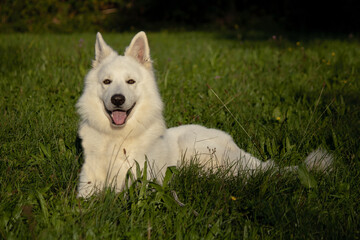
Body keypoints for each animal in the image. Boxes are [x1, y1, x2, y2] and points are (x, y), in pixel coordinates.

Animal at [76, 31, 332, 197]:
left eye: (130, 81)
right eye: (107, 82)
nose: (117, 99)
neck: (118, 138)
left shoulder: (141, 183)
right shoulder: (87, 185)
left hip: (195, 146)